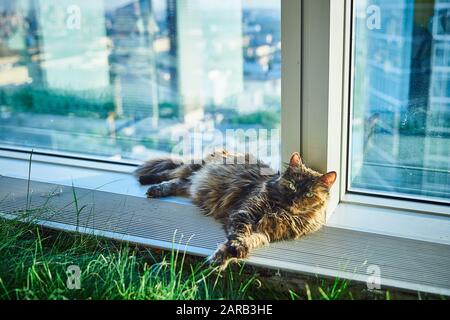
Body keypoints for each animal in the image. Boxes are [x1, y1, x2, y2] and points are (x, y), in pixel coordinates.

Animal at [135, 151, 336, 270]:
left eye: (308, 194)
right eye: (292, 185)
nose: (294, 200)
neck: (282, 211)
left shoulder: (266, 233)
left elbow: (250, 241)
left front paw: (234, 253)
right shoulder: (244, 213)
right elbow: (238, 234)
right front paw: (224, 255)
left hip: (192, 182)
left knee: (179, 182)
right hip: (192, 167)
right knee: (171, 172)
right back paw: (148, 182)